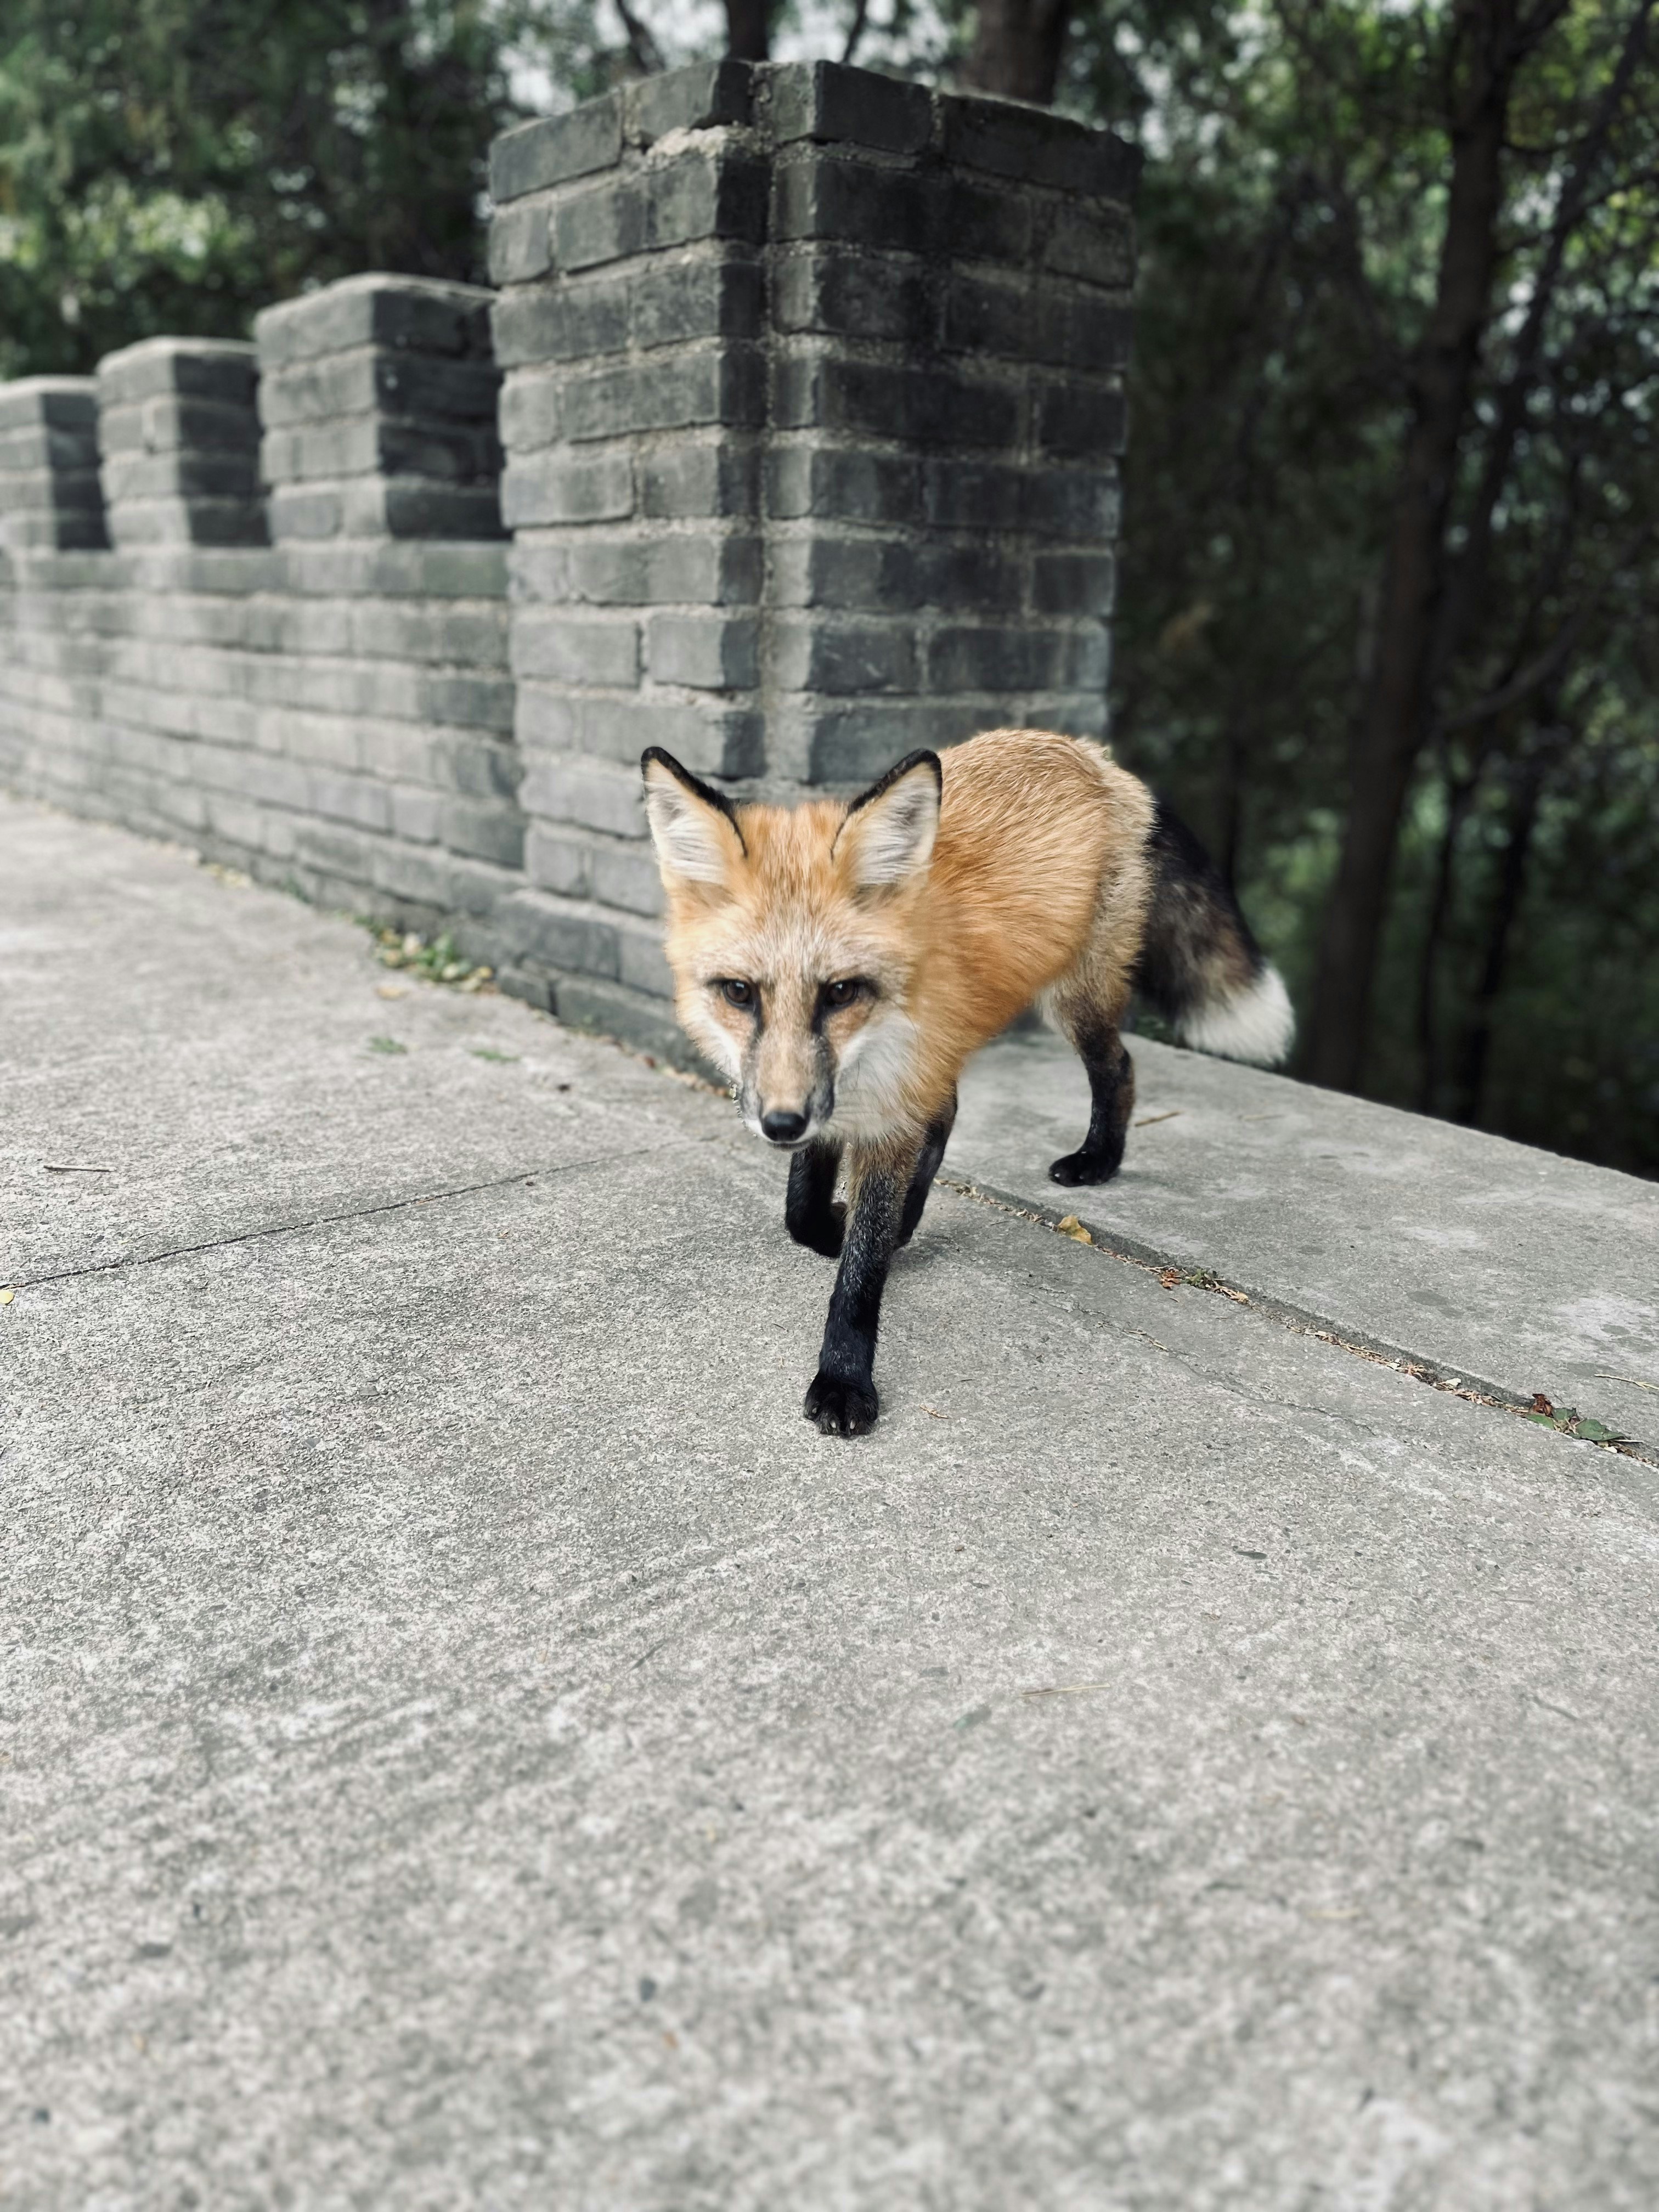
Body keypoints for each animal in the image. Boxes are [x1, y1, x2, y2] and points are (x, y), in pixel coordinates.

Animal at [641, 727, 1294, 1438]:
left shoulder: (887, 1102)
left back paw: (1098, 1160)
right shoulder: (851, 1097)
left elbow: (860, 1270)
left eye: (840, 992)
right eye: (739, 993)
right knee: (952, 1113)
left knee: (1117, 1069)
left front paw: (844, 1379)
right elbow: (802, 1211)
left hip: (1073, 999)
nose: (779, 1125)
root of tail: (1093, 756)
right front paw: (840, 1228)